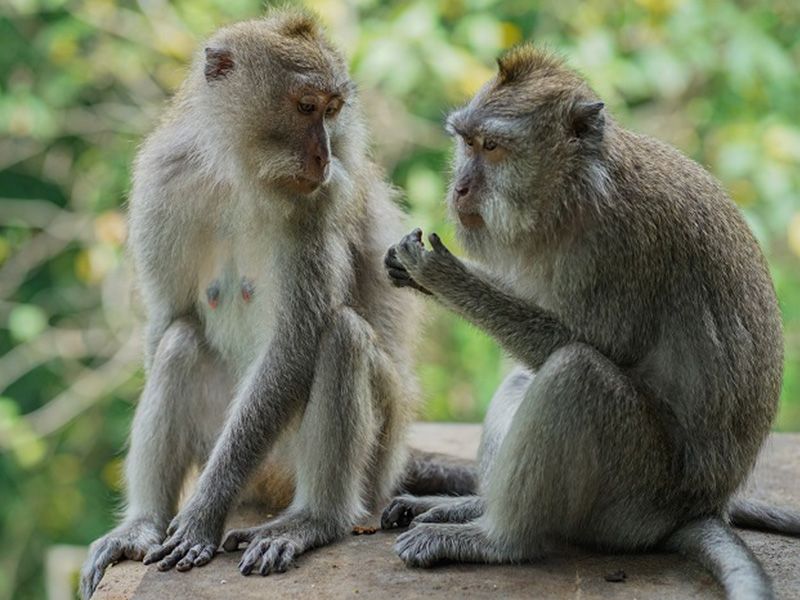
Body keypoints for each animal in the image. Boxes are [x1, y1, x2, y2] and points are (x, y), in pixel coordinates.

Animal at [79, 11, 432, 596]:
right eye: (306, 107)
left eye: (333, 110)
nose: (325, 156)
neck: (238, 174)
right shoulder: (162, 181)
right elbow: (168, 317)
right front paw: (167, 516)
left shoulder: (316, 206)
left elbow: (294, 344)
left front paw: (202, 513)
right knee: (180, 343)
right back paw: (144, 524)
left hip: (372, 457)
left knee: (340, 336)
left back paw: (314, 520)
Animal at [378, 47, 796, 600]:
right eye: (466, 142)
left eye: (492, 147)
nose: (461, 187)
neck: (576, 195)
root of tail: (697, 509)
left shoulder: (622, 247)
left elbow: (592, 348)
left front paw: (443, 275)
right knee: (528, 378)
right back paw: (468, 508)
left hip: (633, 500)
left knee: (576, 372)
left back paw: (497, 540)